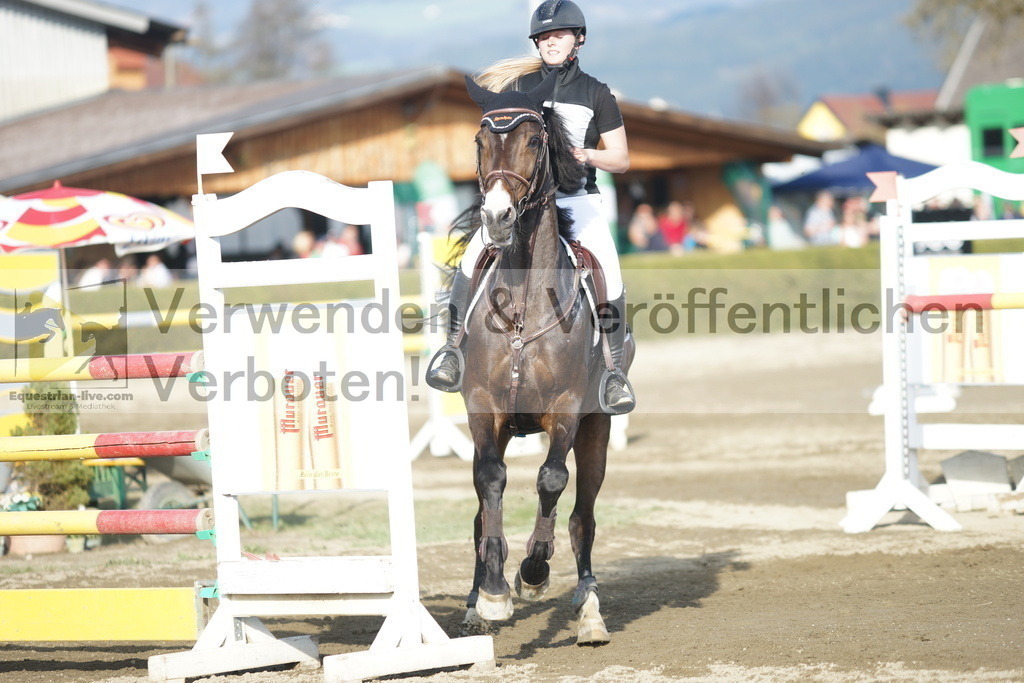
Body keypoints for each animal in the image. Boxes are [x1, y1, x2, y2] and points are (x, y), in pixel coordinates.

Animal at [456, 70, 630, 647]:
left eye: (535, 141)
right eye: (479, 142)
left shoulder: (568, 409)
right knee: (482, 506)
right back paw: (474, 602)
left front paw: (531, 572)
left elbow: (552, 482)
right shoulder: (484, 407)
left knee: (582, 516)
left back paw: (589, 609)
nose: (496, 217)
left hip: (597, 430)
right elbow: (490, 483)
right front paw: (491, 594)